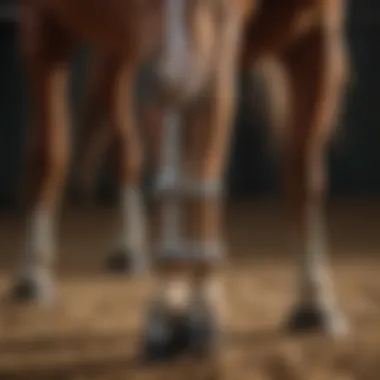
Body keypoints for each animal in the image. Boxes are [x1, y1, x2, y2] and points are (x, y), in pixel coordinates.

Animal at [11, 0, 350, 360]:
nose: (176, 78)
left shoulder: (315, 35)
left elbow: (304, 176)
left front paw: (314, 303)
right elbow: (183, 172)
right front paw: (176, 310)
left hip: (132, 56)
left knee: (126, 144)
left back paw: (127, 251)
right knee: (60, 152)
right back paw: (33, 275)